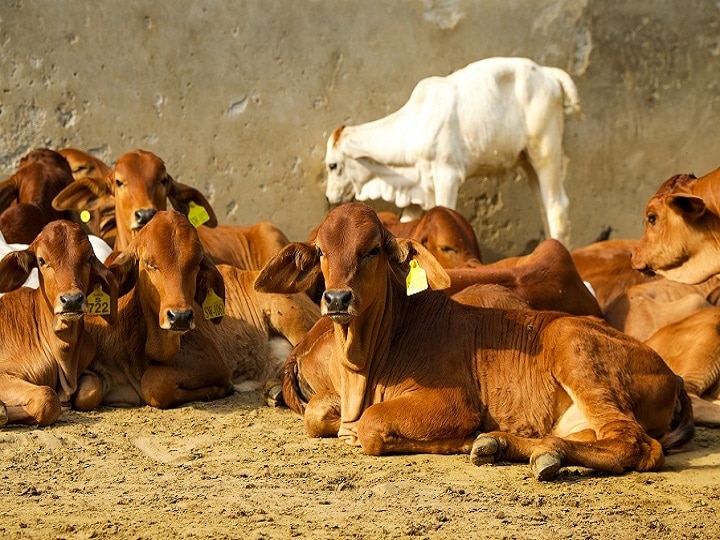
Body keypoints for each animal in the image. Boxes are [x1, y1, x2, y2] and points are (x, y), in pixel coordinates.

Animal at [0, 219, 116, 426]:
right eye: (41, 260)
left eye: (89, 257)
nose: (71, 300)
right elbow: (47, 398)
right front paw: (1, 412)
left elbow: (92, 390)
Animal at [74, 210, 320, 410]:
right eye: (149, 263)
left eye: (195, 264)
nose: (180, 317)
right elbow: (86, 394)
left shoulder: (212, 361)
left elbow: (154, 383)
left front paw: (221, 389)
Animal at [256, 202, 696, 480]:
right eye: (321, 251)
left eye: (373, 249)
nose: (336, 299)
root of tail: (672, 375)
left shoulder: (456, 402)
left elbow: (371, 426)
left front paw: (455, 439)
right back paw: (503, 445)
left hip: (577, 352)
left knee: (636, 445)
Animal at [324, 58, 580, 244]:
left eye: (333, 165)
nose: (329, 197)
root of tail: (548, 74)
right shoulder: (417, 189)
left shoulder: (447, 176)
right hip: (528, 161)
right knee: (544, 205)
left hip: (545, 152)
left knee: (558, 208)